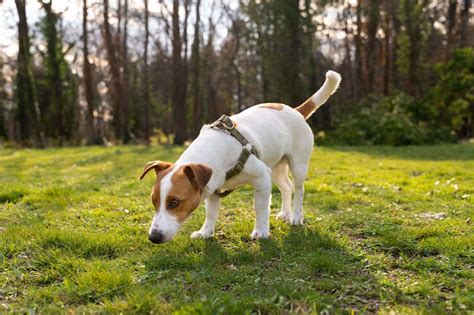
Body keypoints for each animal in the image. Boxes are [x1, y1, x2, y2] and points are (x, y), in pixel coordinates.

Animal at [140, 71, 340, 244]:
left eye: (174, 202)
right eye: (154, 201)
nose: (153, 237)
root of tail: (295, 111)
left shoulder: (261, 177)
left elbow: (260, 208)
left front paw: (261, 231)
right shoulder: (214, 187)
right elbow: (211, 213)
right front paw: (206, 232)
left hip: (298, 165)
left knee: (298, 189)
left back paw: (297, 216)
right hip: (275, 167)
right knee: (286, 186)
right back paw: (285, 213)